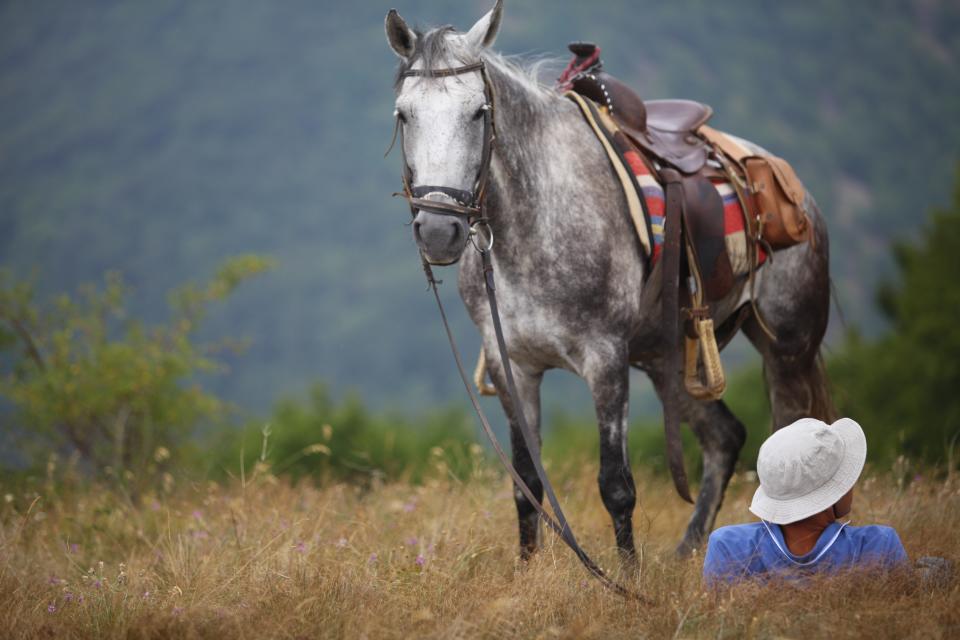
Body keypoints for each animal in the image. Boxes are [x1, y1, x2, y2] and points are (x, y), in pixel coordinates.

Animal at [382, 2, 832, 556]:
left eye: (479, 113)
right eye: (404, 114)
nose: (439, 231)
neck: (539, 220)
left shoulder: (606, 361)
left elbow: (617, 486)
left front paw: (628, 573)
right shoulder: (516, 369)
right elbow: (526, 485)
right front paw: (526, 570)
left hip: (788, 348)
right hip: (665, 358)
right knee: (724, 437)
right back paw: (688, 553)